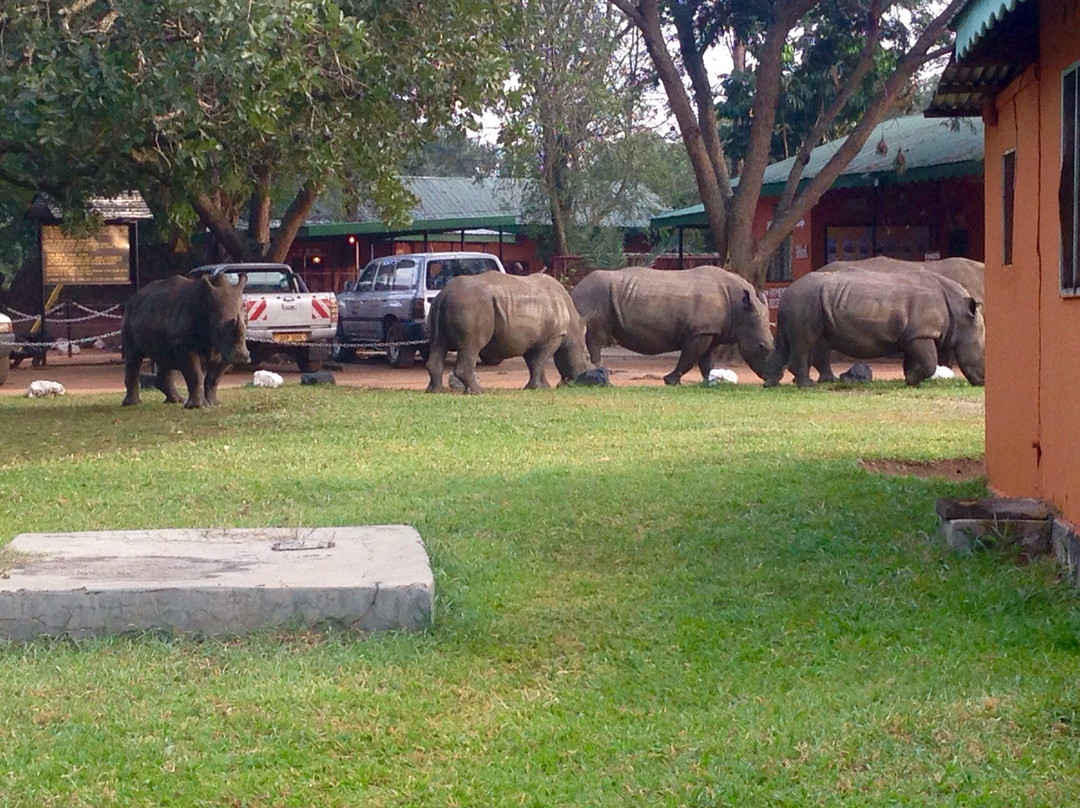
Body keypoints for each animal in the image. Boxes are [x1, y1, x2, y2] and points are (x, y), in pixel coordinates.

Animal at [122, 273, 250, 408]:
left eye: (245, 326)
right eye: (218, 327)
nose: (240, 357)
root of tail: (134, 296)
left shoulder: (225, 350)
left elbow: (214, 378)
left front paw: (214, 403)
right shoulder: (185, 348)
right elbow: (195, 375)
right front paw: (197, 406)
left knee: (165, 357)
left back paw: (176, 400)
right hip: (129, 315)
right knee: (133, 355)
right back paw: (132, 404)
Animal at [426, 271, 593, 394]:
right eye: (586, 357)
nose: (585, 377)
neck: (573, 328)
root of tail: (444, 294)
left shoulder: (530, 340)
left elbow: (533, 363)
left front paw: (541, 386)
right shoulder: (553, 337)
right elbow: (540, 361)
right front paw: (538, 388)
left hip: (441, 305)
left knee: (438, 345)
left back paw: (436, 391)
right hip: (471, 305)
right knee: (471, 347)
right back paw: (478, 391)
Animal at [570, 265, 774, 384]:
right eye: (761, 346)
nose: (773, 377)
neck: (741, 309)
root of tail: (574, 290)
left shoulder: (711, 331)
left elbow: (706, 361)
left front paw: (711, 381)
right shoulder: (699, 332)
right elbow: (689, 358)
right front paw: (670, 381)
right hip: (595, 295)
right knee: (595, 335)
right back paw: (600, 376)